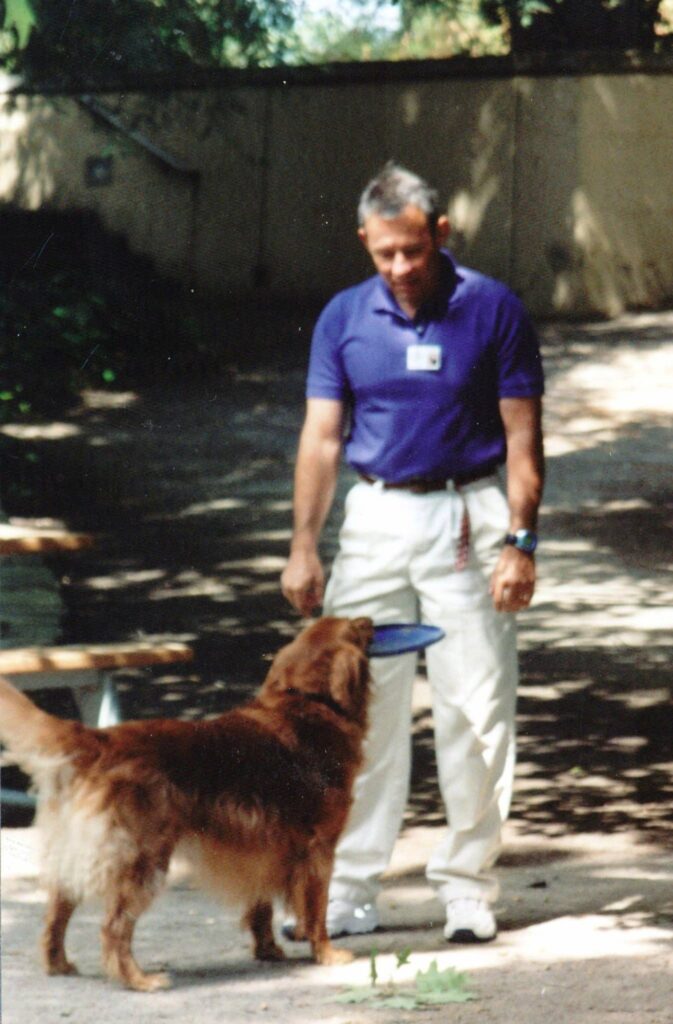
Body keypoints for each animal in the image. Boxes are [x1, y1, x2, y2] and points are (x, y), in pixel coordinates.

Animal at [0, 610, 372, 987]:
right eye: (354, 628)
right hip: (143, 858)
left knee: (57, 912)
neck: (309, 703)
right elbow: (316, 910)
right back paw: (139, 980)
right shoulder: (319, 848)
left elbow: (261, 907)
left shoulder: (264, 849)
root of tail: (102, 740)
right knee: (113, 926)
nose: (370, 620)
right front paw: (326, 954)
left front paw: (268, 949)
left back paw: (58, 963)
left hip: (80, 853)